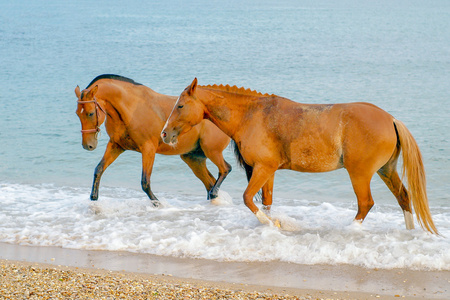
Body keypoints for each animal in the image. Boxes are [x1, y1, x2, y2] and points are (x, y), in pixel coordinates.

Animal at [74, 75, 232, 206]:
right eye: (77, 113)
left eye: (91, 113)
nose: (88, 145)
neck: (131, 108)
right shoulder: (116, 146)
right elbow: (99, 169)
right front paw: (94, 197)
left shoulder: (148, 148)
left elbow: (145, 182)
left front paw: (157, 203)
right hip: (193, 158)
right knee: (210, 182)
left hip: (212, 151)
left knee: (225, 169)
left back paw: (215, 194)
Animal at [161, 78, 436, 233]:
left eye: (180, 105)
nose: (164, 134)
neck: (253, 115)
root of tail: (390, 119)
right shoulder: (267, 171)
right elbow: (266, 202)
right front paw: (272, 224)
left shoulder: (262, 169)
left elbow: (248, 199)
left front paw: (272, 225)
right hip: (385, 170)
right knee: (403, 198)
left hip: (360, 173)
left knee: (366, 203)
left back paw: (350, 230)